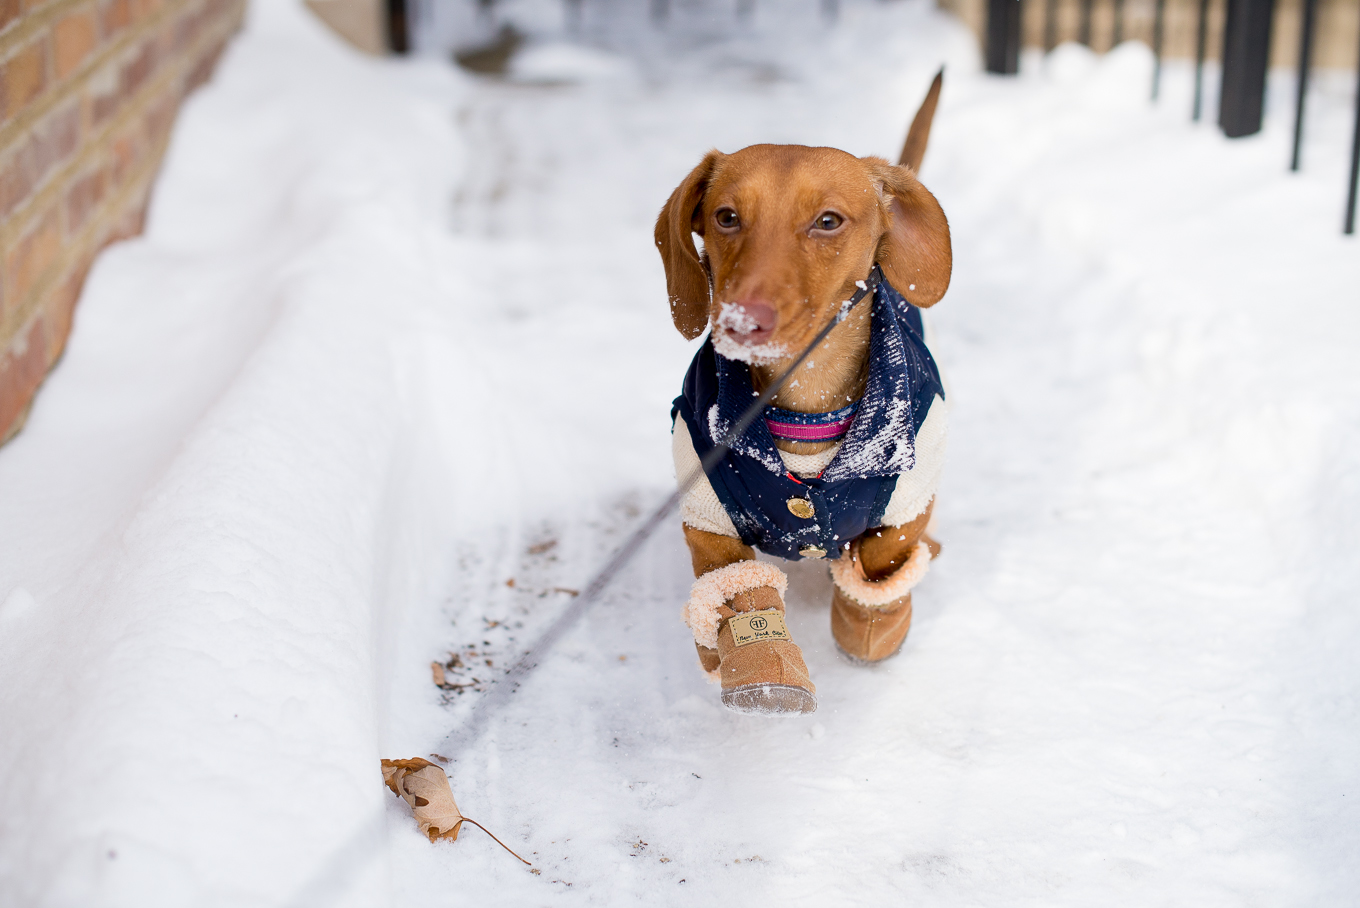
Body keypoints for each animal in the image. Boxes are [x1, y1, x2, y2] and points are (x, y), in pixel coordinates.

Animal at [652, 72, 952, 717]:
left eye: (829, 221)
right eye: (726, 216)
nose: (743, 320)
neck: (804, 406)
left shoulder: (905, 504)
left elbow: (881, 571)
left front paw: (871, 628)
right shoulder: (708, 515)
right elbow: (739, 595)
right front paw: (758, 666)